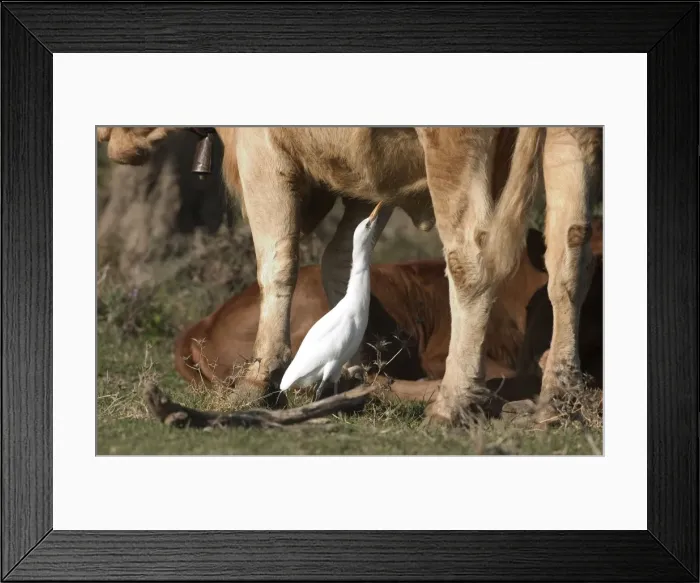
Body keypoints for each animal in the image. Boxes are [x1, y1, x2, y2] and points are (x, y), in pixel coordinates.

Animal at [98, 126, 602, 426]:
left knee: (472, 259)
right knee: (570, 258)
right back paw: (559, 396)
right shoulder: (367, 184)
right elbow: (341, 258)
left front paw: (261, 379)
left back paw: (453, 400)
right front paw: (352, 370)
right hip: (570, 140)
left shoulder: (261, 146)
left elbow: (277, 259)